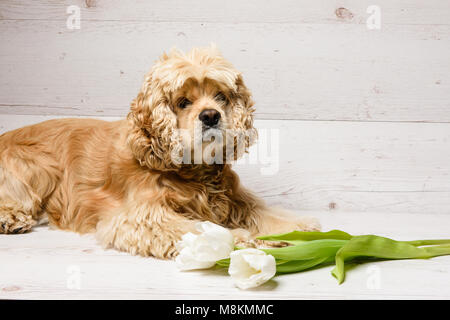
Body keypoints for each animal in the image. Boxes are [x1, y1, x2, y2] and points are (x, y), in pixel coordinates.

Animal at [0, 46, 320, 258]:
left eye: (221, 97)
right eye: (182, 102)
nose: (211, 116)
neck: (195, 173)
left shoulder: (237, 201)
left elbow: (267, 214)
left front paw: (302, 230)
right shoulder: (141, 216)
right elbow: (197, 229)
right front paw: (239, 239)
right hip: (35, 168)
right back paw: (11, 220)